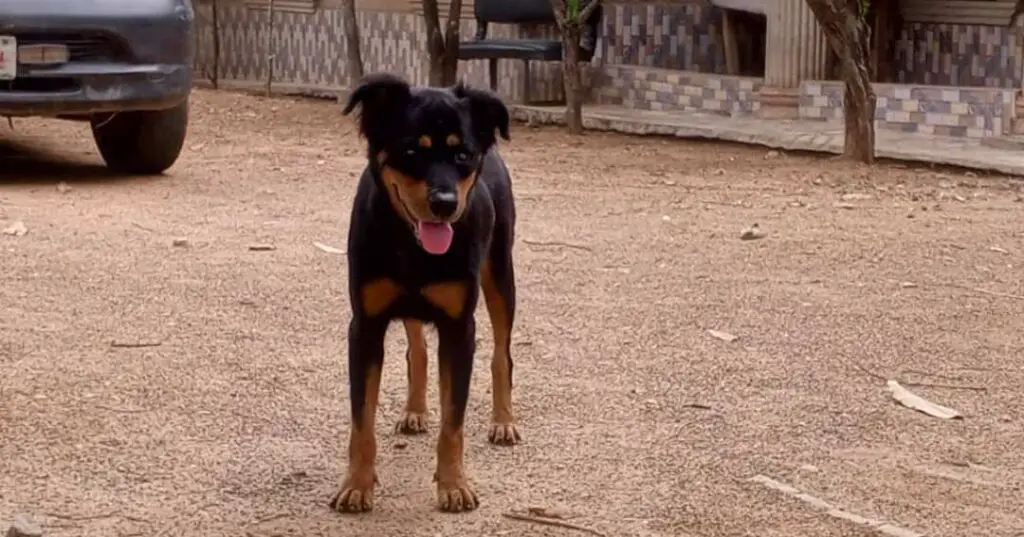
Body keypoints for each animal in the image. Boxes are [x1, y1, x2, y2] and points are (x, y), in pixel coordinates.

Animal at [331, 73, 524, 514]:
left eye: (463, 155)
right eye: (410, 151)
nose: (445, 203)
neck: (411, 246)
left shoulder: (459, 328)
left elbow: (454, 420)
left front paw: (454, 485)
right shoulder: (365, 327)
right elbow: (361, 419)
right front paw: (357, 485)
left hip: (500, 274)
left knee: (501, 352)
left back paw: (503, 420)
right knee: (416, 348)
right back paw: (415, 410)